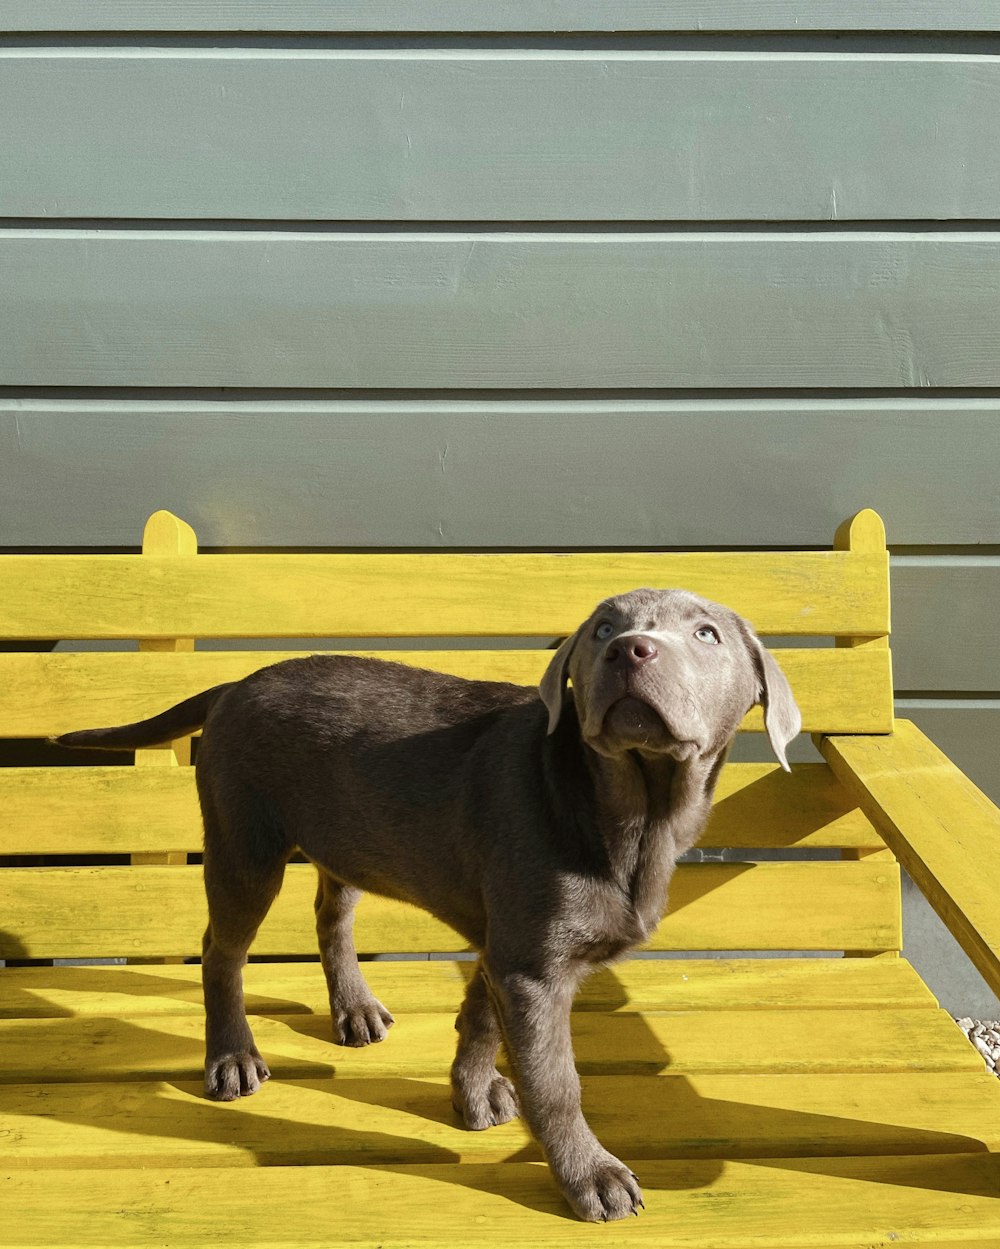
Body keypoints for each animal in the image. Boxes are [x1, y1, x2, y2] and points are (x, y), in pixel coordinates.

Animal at [56, 587, 803, 1219]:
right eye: (601, 629)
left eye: (706, 633)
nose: (630, 650)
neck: (626, 808)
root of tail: (234, 684)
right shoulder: (530, 963)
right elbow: (555, 1080)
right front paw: (589, 1175)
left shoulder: (507, 943)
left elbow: (480, 1019)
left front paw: (472, 1093)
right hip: (246, 843)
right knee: (222, 950)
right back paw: (231, 1055)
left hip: (343, 836)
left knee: (332, 916)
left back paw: (353, 1007)